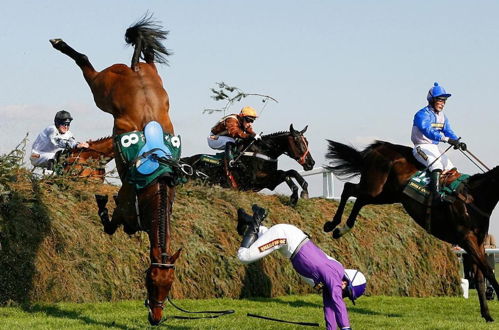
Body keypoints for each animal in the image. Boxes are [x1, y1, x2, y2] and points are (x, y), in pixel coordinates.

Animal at [50, 16, 182, 324]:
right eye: (150, 281)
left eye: (169, 285)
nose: (156, 317)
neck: (154, 191)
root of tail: (133, 68)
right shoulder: (125, 209)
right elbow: (109, 224)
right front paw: (100, 199)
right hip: (102, 88)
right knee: (86, 63)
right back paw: (62, 45)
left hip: (154, 77)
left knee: (149, 56)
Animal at [182, 125, 314, 205]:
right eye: (297, 141)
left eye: (307, 142)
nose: (311, 163)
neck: (264, 151)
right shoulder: (253, 182)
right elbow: (285, 174)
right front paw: (294, 196)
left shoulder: (270, 181)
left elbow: (291, 172)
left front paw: (304, 189)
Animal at [322, 140, 499, 322]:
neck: (473, 197)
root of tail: (380, 146)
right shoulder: (467, 239)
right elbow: (488, 272)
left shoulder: (478, 242)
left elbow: (480, 278)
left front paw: (487, 315)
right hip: (374, 186)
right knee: (349, 189)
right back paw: (332, 225)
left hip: (386, 194)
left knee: (359, 200)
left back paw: (341, 229)